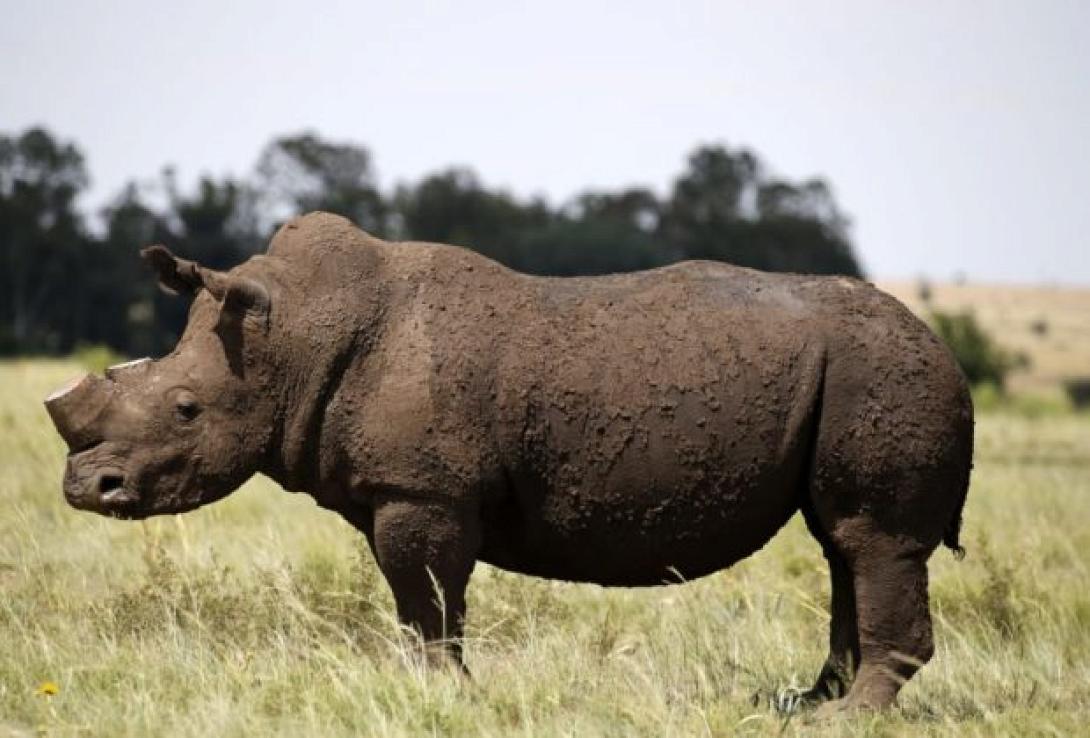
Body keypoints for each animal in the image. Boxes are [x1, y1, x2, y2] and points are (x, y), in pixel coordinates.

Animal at [45, 212, 973, 715]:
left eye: (186, 410)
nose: (87, 488)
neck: (296, 335)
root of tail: (943, 344)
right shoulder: (406, 491)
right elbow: (420, 605)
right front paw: (433, 691)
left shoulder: (422, 491)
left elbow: (428, 601)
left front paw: (442, 695)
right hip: (862, 374)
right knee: (842, 544)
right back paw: (802, 705)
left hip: (883, 371)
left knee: (872, 539)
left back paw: (843, 718)